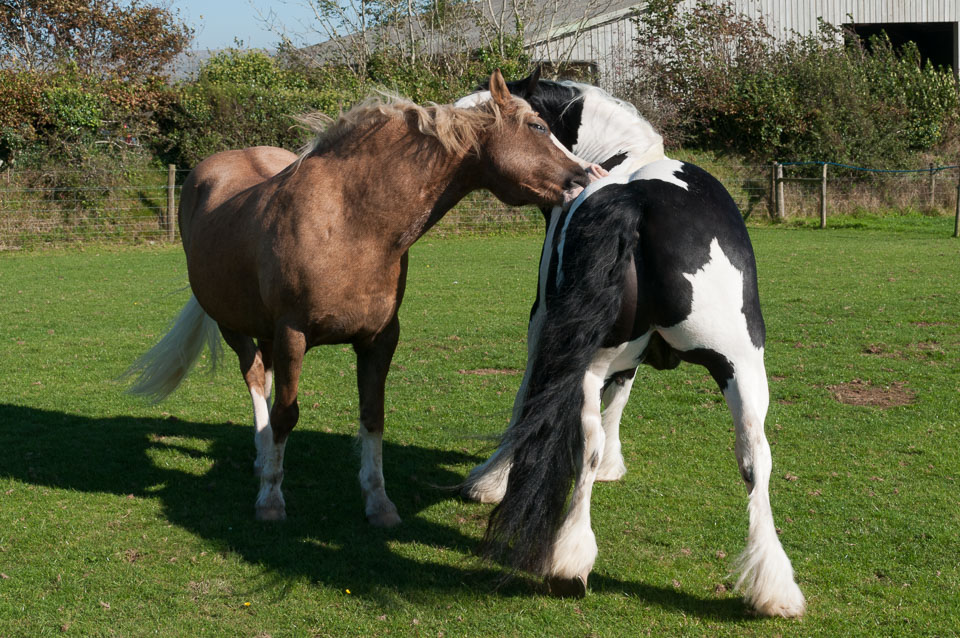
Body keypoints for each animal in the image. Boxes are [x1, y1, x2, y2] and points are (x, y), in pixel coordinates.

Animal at [124, 72, 588, 528]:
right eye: (538, 127)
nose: (584, 177)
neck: (353, 224)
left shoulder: (379, 339)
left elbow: (372, 416)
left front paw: (379, 502)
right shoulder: (292, 334)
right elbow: (287, 414)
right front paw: (271, 500)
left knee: (266, 378)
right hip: (231, 324)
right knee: (256, 379)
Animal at [454, 74, 808, 620]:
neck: (621, 154)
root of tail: (640, 201)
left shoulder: (543, 323)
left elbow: (528, 402)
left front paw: (490, 478)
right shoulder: (632, 354)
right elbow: (622, 395)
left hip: (586, 359)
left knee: (587, 442)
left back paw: (569, 561)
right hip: (744, 365)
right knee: (755, 456)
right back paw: (774, 588)